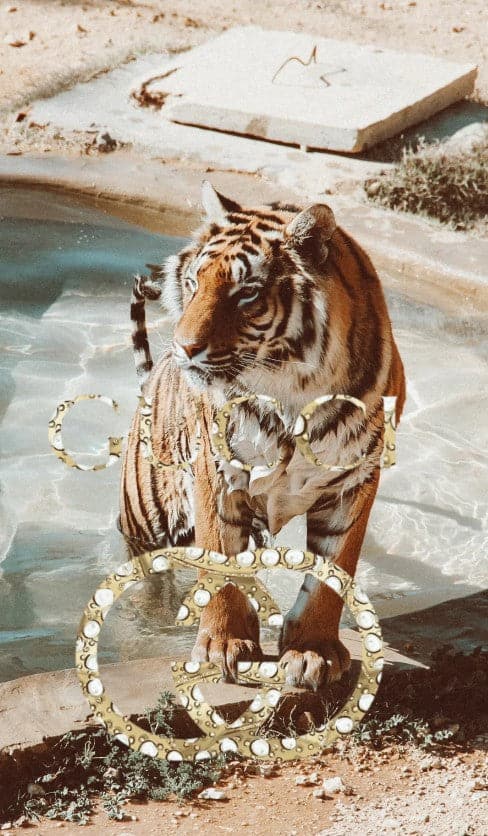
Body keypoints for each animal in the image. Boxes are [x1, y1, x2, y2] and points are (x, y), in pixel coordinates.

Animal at [119, 181, 406, 691]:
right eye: (194, 283)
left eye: (246, 293)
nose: (183, 348)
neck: (292, 392)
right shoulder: (217, 475)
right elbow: (220, 564)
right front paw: (222, 646)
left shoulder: (354, 482)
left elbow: (332, 574)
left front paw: (312, 651)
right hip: (145, 522)